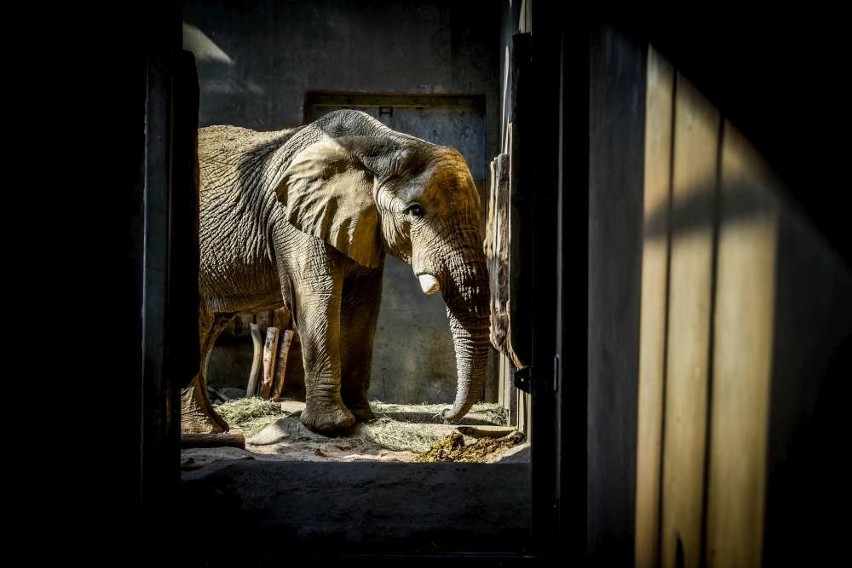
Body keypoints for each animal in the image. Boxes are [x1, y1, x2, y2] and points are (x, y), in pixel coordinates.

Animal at [185, 107, 492, 434]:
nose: (444, 414)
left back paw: (214, 427)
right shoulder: (291, 220)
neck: (381, 144)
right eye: (415, 210)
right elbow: (317, 294)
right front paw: (332, 427)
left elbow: (362, 304)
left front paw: (361, 416)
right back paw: (204, 429)